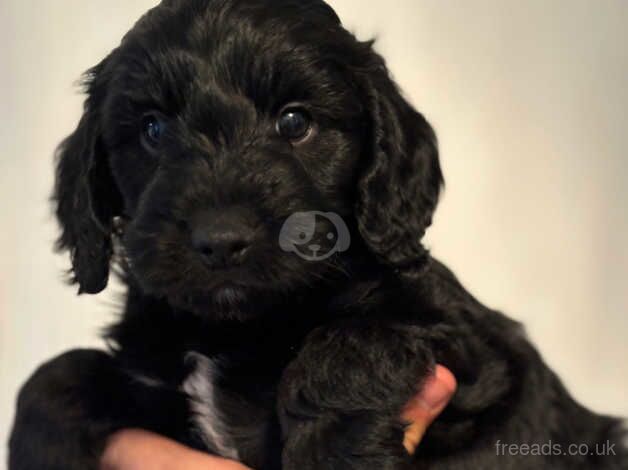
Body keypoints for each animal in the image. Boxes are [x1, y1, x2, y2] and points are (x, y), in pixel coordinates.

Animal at [7, 0, 624, 470]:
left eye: (295, 122)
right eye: (153, 129)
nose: (221, 239)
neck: (235, 330)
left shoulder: (468, 346)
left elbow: (345, 346)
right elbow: (62, 370)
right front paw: (38, 446)